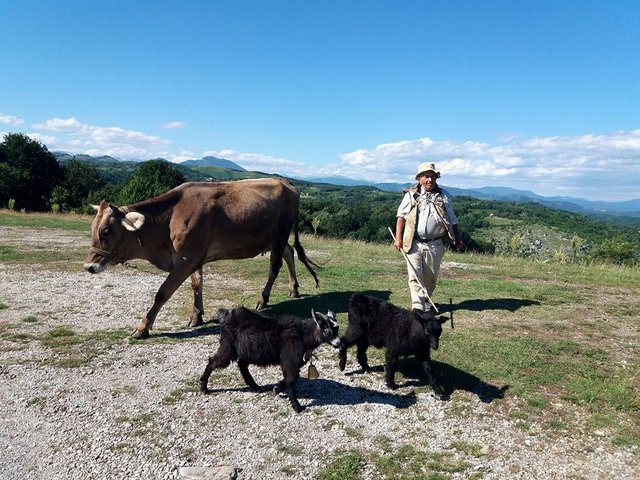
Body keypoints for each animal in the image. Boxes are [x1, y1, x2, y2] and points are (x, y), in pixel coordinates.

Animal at [84, 178, 318, 340]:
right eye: (93, 228)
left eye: (107, 231)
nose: (88, 266)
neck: (170, 219)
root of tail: (284, 181)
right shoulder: (193, 256)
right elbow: (197, 284)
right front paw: (197, 315)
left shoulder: (186, 258)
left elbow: (162, 293)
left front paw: (142, 328)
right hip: (274, 238)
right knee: (289, 253)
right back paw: (294, 288)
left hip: (280, 233)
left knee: (275, 265)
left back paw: (263, 299)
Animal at [201, 308, 342, 412]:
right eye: (327, 330)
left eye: (337, 329)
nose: (338, 343)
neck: (302, 334)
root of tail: (226, 316)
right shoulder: (290, 359)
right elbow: (292, 379)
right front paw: (296, 406)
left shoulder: (291, 361)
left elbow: (289, 378)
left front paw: (277, 388)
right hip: (228, 346)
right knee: (213, 361)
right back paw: (203, 387)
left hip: (246, 351)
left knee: (241, 364)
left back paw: (255, 386)